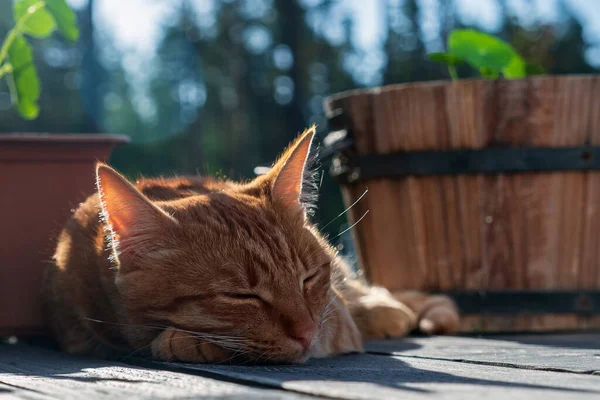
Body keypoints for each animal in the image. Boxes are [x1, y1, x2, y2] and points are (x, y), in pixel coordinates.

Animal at [44, 127, 458, 362]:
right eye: (242, 296)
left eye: (309, 278)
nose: (307, 333)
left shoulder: (335, 319)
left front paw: (181, 342)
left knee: (389, 303)